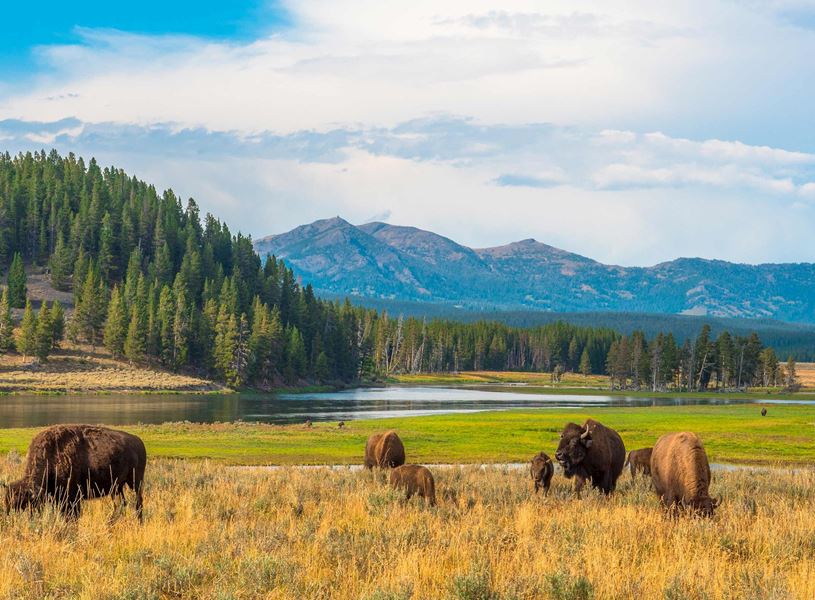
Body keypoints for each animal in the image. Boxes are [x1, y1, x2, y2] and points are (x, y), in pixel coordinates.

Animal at [2, 424, 146, 522]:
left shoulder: (72, 497)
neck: (52, 455)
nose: (12, 519)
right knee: (120, 504)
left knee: (138, 502)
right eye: (7, 503)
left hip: (135, 482)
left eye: (24, 504)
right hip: (117, 488)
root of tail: (139, 441)